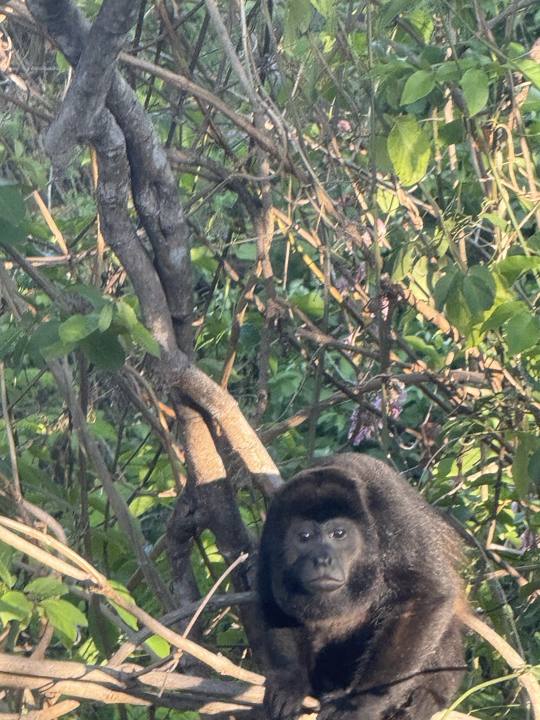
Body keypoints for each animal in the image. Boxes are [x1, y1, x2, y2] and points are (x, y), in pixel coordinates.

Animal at [257, 453, 466, 720]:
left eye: (339, 533)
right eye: (305, 537)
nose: (322, 559)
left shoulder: (392, 512)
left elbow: (426, 595)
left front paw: (358, 702)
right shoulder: (271, 531)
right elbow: (274, 603)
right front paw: (290, 680)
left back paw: (427, 696)